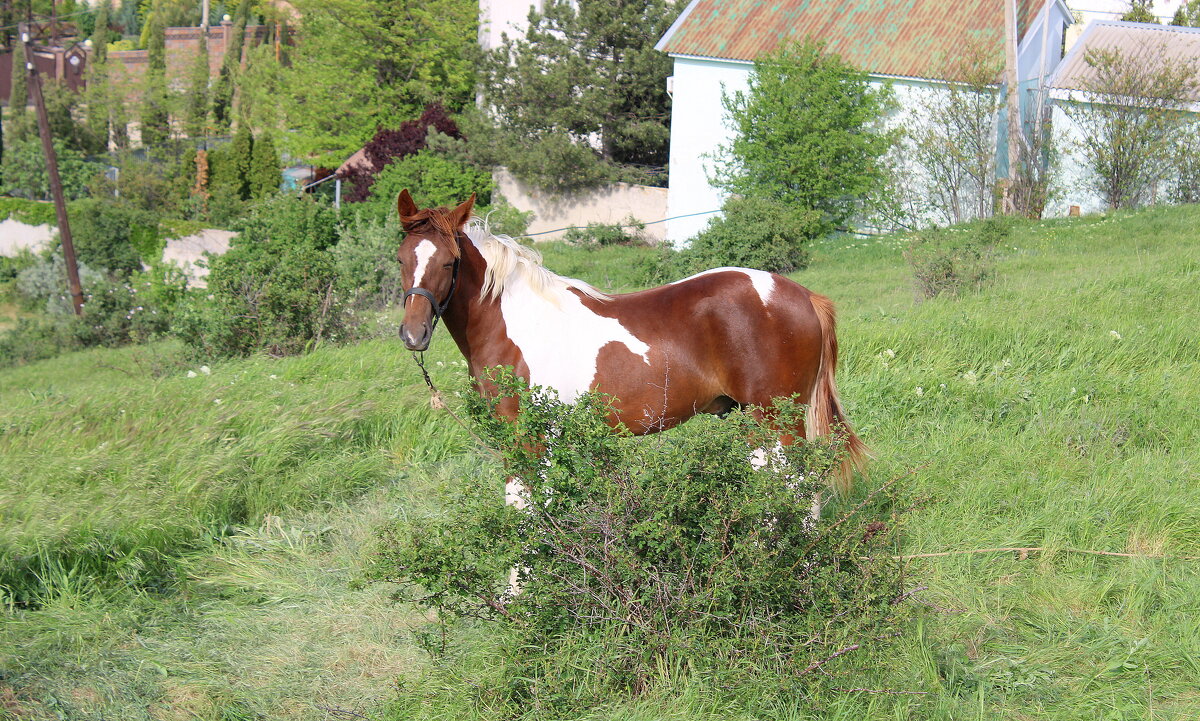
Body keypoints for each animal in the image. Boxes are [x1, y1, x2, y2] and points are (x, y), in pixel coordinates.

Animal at [398, 188, 868, 496]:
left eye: (449, 262)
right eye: (401, 259)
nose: (413, 334)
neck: (515, 324)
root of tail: (804, 295)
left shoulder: (528, 438)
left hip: (775, 422)